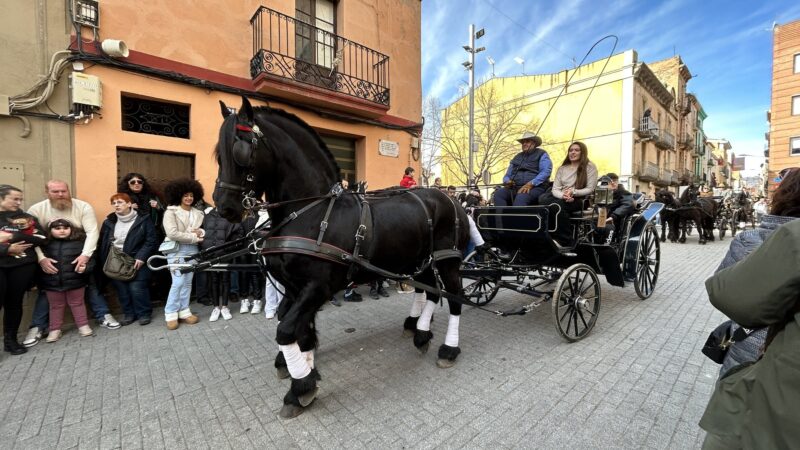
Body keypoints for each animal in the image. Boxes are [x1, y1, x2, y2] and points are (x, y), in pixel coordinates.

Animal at [212, 97, 468, 418]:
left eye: (241, 151)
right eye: (217, 154)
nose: (224, 207)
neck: (313, 211)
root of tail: (450, 198)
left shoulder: (318, 287)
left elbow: (286, 330)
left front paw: (299, 388)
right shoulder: (296, 287)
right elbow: (295, 325)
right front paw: (306, 367)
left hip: (447, 261)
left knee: (455, 297)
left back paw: (448, 348)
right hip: (419, 261)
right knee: (430, 293)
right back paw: (420, 331)